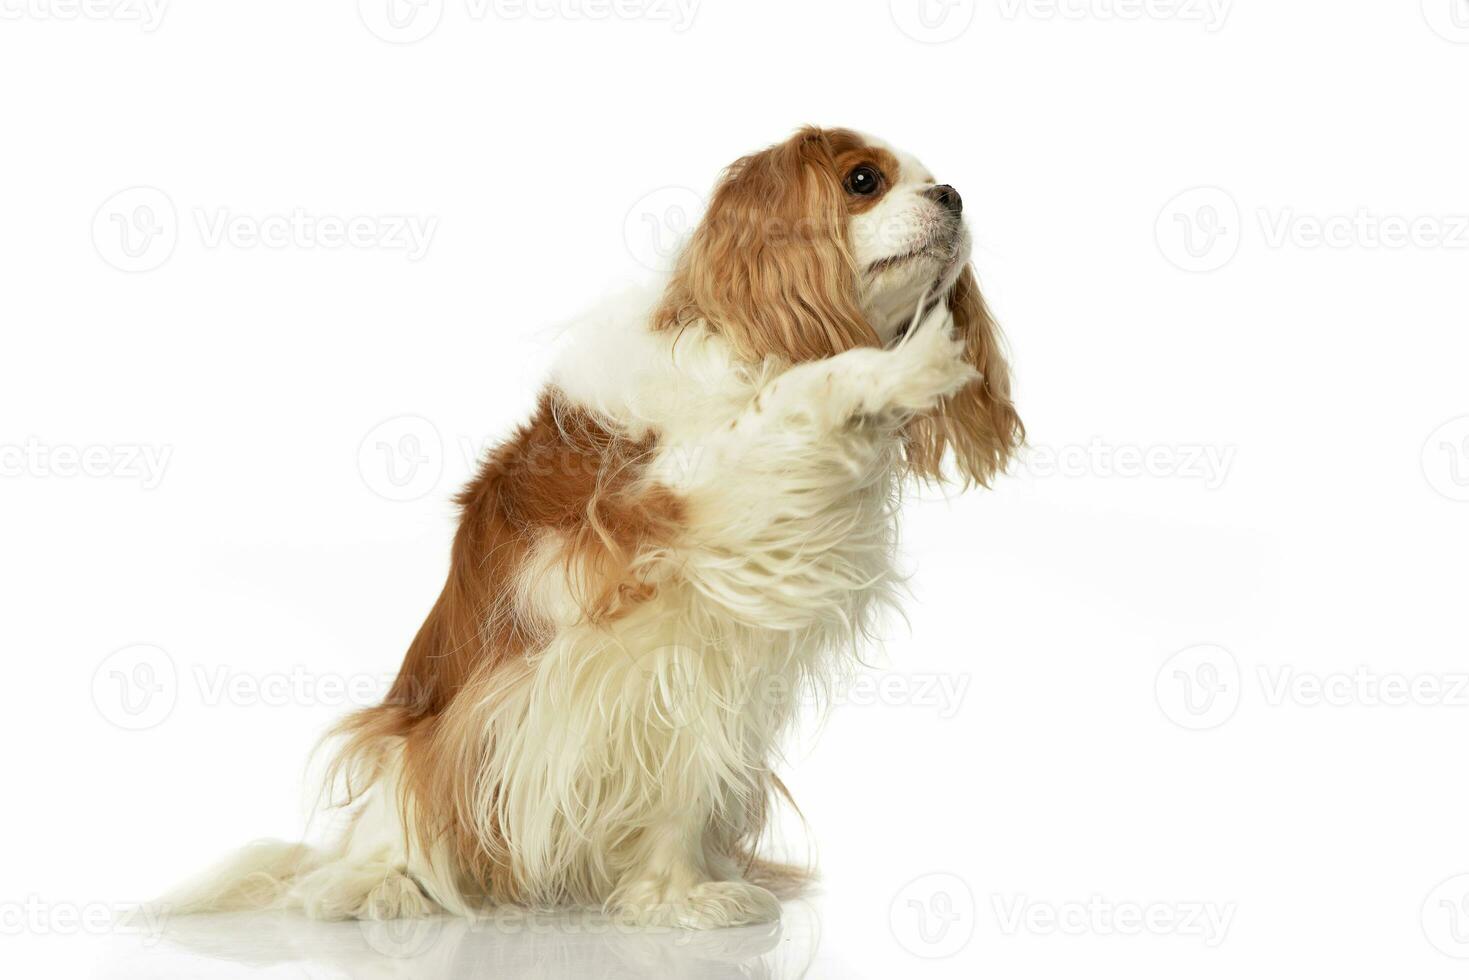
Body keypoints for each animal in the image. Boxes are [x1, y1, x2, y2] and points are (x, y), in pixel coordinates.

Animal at [171, 126, 1022, 934]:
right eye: (862, 180)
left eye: (934, 178)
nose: (951, 195)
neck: (751, 348)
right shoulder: (669, 495)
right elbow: (797, 399)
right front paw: (902, 364)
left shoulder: (698, 672)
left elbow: (680, 791)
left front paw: (676, 898)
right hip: (433, 742)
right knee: (382, 829)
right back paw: (377, 885)